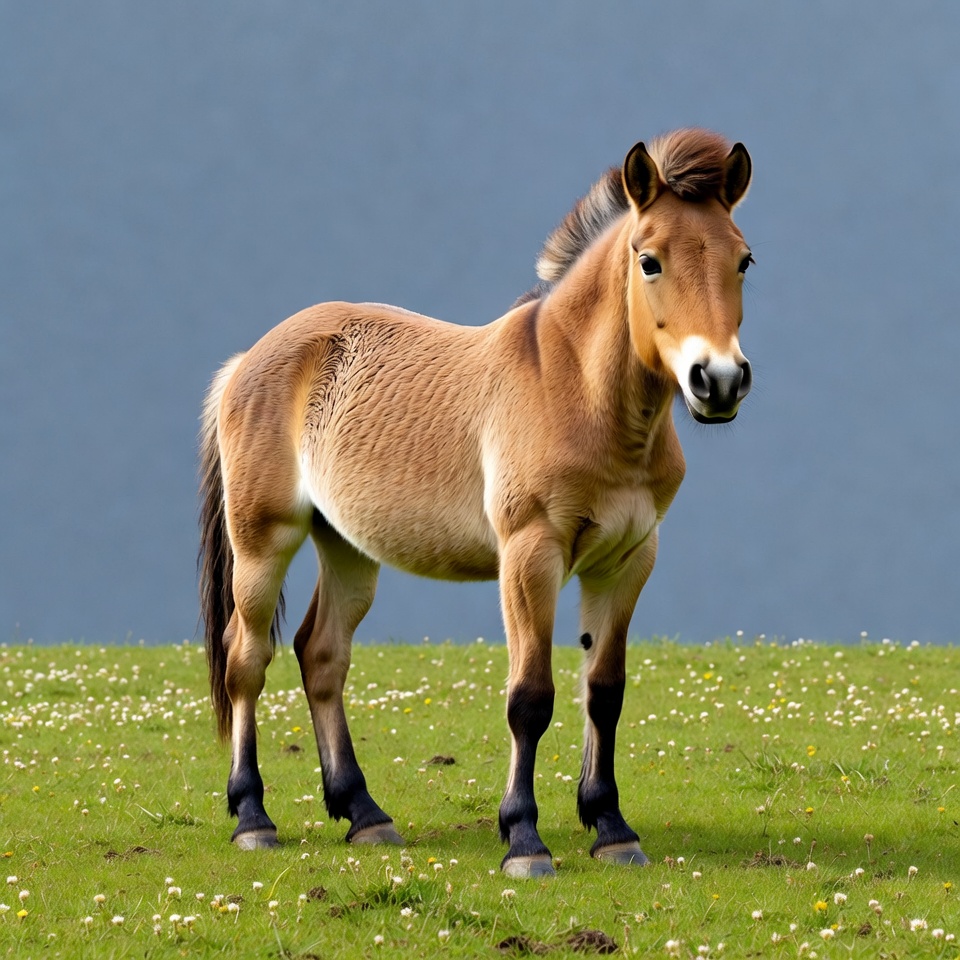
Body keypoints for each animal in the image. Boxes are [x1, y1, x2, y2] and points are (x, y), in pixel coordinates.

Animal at [198, 128, 754, 878]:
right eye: (649, 261)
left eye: (744, 260)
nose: (717, 381)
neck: (579, 394)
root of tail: (246, 362)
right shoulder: (530, 555)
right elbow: (531, 697)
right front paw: (524, 838)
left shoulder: (628, 559)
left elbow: (604, 692)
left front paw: (611, 827)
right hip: (263, 542)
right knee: (245, 659)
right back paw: (252, 816)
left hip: (346, 548)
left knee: (322, 654)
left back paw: (364, 813)